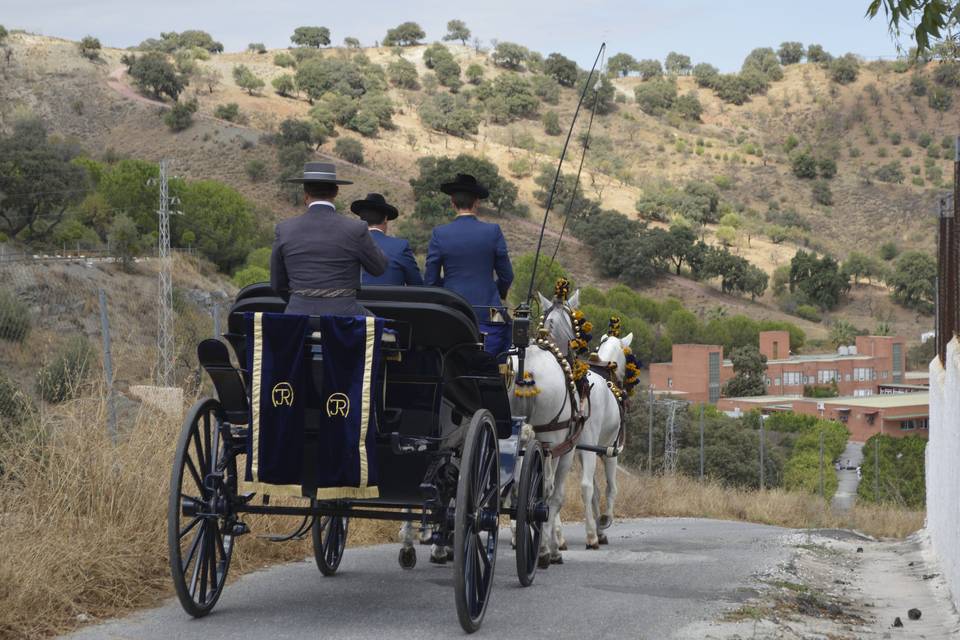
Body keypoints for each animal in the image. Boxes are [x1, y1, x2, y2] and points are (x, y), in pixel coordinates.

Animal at [536, 292, 632, 548]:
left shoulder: (577, 448)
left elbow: (595, 491)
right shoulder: (608, 449)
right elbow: (609, 488)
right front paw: (604, 521)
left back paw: (555, 537)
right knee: (584, 486)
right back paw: (589, 535)